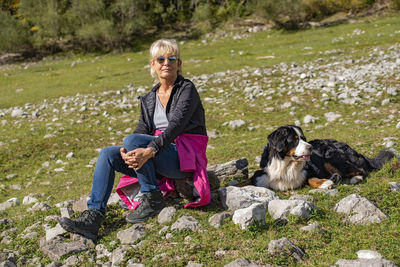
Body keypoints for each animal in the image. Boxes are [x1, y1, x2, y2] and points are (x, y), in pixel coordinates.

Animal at [245, 124, 396, 192]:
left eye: (304, 138)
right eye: (295, 139)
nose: (311, 147)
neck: (286, 165)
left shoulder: (311, 170)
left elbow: (310, 178)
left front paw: (324, 183)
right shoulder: (261, 175)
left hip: (332, 156)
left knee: (361, 170)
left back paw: (354, 178)